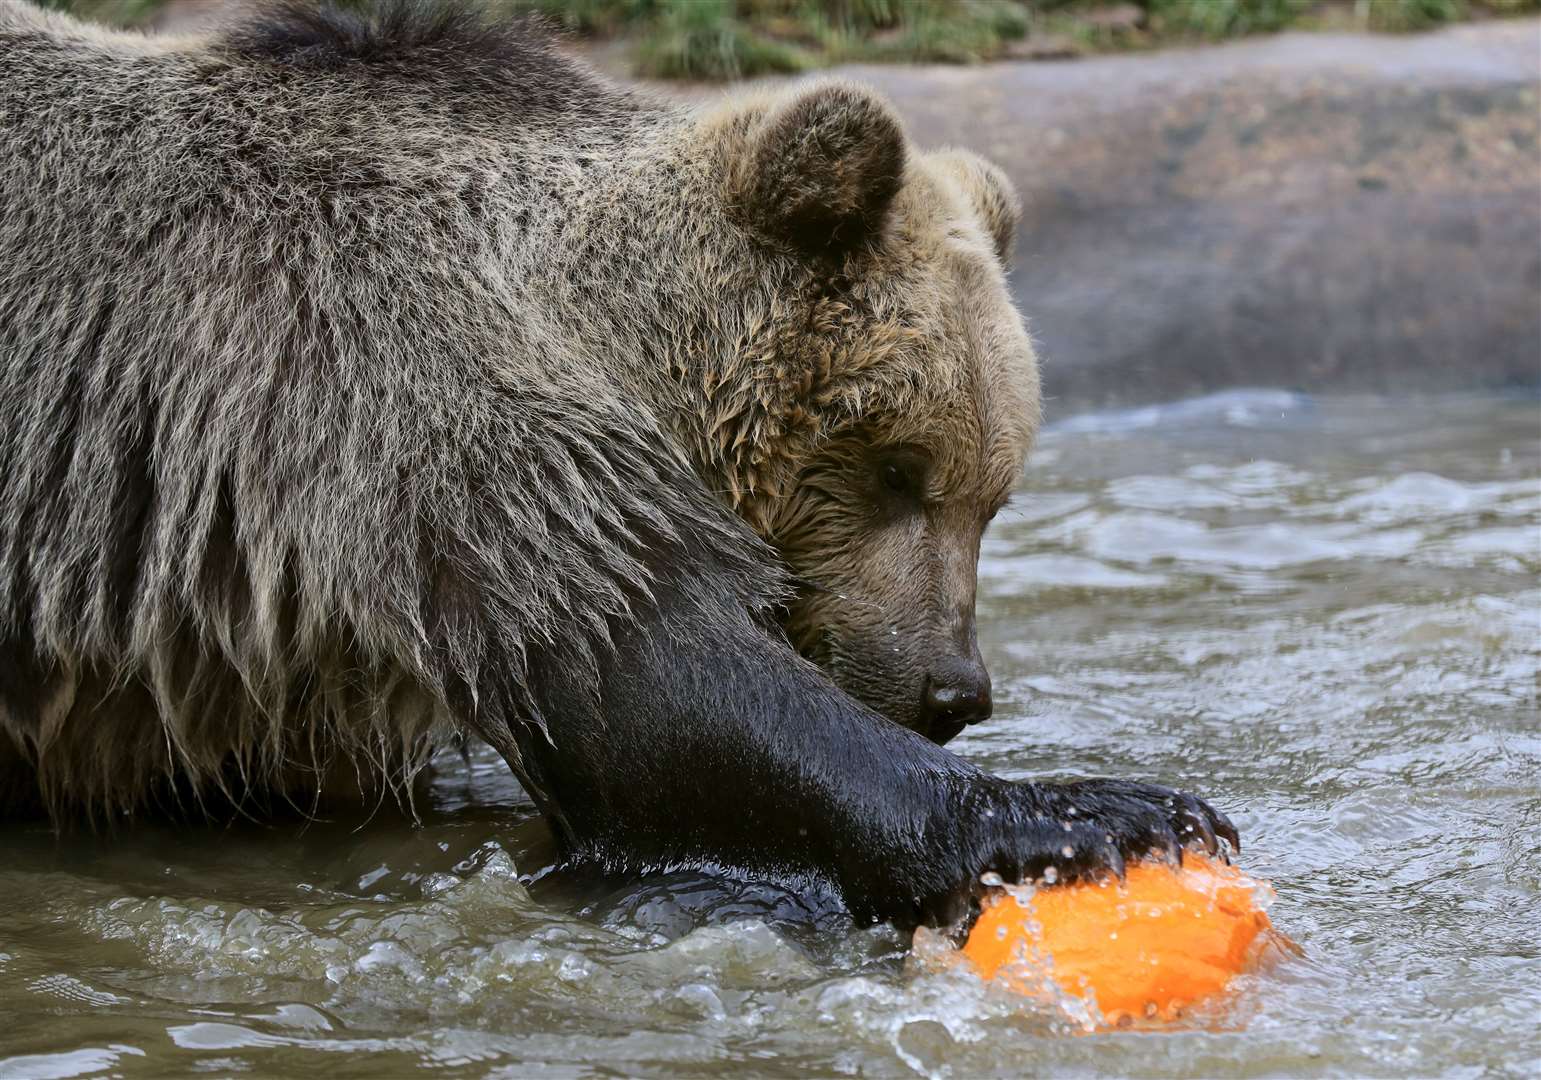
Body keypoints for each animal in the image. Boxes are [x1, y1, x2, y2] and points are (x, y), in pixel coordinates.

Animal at [0, 0, 1232, 924]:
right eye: (896, 468)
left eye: (992, 498)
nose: (952, 688)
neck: (612, 344)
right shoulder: (388, 397)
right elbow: (646, 694)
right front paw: (1105, 813)